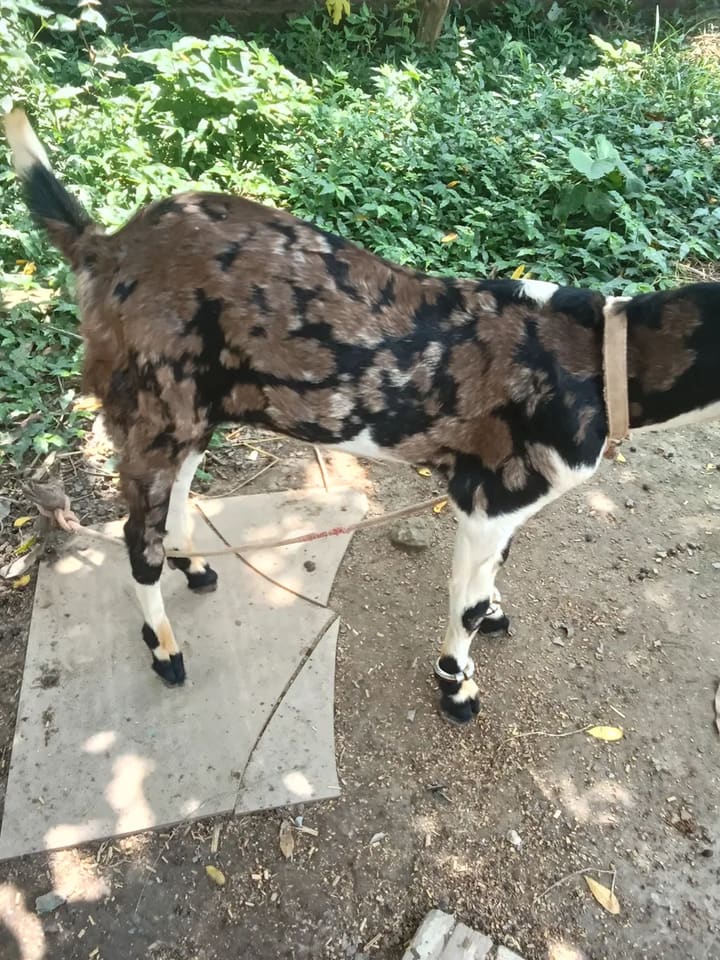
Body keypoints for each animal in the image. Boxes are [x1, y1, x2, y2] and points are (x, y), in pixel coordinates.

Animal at [5, 108, 720, 724]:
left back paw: (195, 566)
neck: (601, 356)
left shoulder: (503, 509)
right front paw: (456, 687)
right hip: (154, 407)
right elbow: (464, 605)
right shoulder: (490, 496)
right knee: (137, 537)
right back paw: (164, 648)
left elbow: (490, 581)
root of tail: (106, 247)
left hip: (191, 412)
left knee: (176, 492)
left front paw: (492, 617)